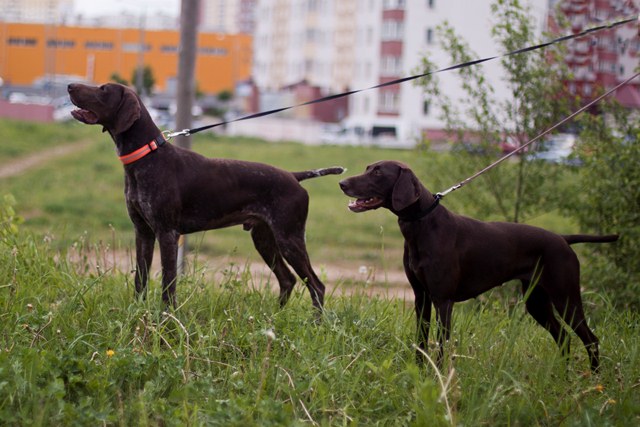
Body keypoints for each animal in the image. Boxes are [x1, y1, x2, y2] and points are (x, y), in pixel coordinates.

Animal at [67, 83, 342, 310]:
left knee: (316, 285)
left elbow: (168, 283)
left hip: (289, 239)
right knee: (287, 280)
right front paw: (136, 311)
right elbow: (140, 278)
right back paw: (273, 319)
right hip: (264, 238)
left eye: (103, 89)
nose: (69, 85)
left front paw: (166, 318)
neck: (147, 156)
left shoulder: (167, 233)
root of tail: (294, 176)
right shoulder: (142, 232)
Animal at [342, 160, 616, 372]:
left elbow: (441, 344)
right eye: (368, 168)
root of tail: (562, 239)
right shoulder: (421, 298)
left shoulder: (443, 300)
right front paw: (419, 372)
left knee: (590, 339)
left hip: (566, 298)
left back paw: (594, 380)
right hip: (537, 302)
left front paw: (439, 376)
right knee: (564, 338)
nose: (342, 183)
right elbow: (421, 341)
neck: (423, 225)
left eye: (378, 172)